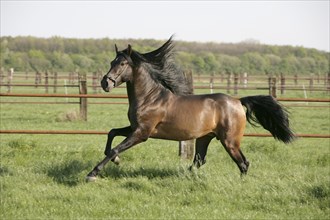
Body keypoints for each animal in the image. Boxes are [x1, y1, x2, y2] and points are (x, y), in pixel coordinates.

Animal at [86, 36, 296, 180]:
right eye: (111, 62)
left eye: (122, 63)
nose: (105, 83)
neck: (150, 98)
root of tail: (238, 101)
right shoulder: (134, 128)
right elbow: (112, 133)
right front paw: (115, 161)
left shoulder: (142, 133)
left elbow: (115, 148)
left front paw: (93, 173)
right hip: (205, 138)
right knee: (199, 160)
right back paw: (184, 176)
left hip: (230, 141)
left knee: (243, 162)